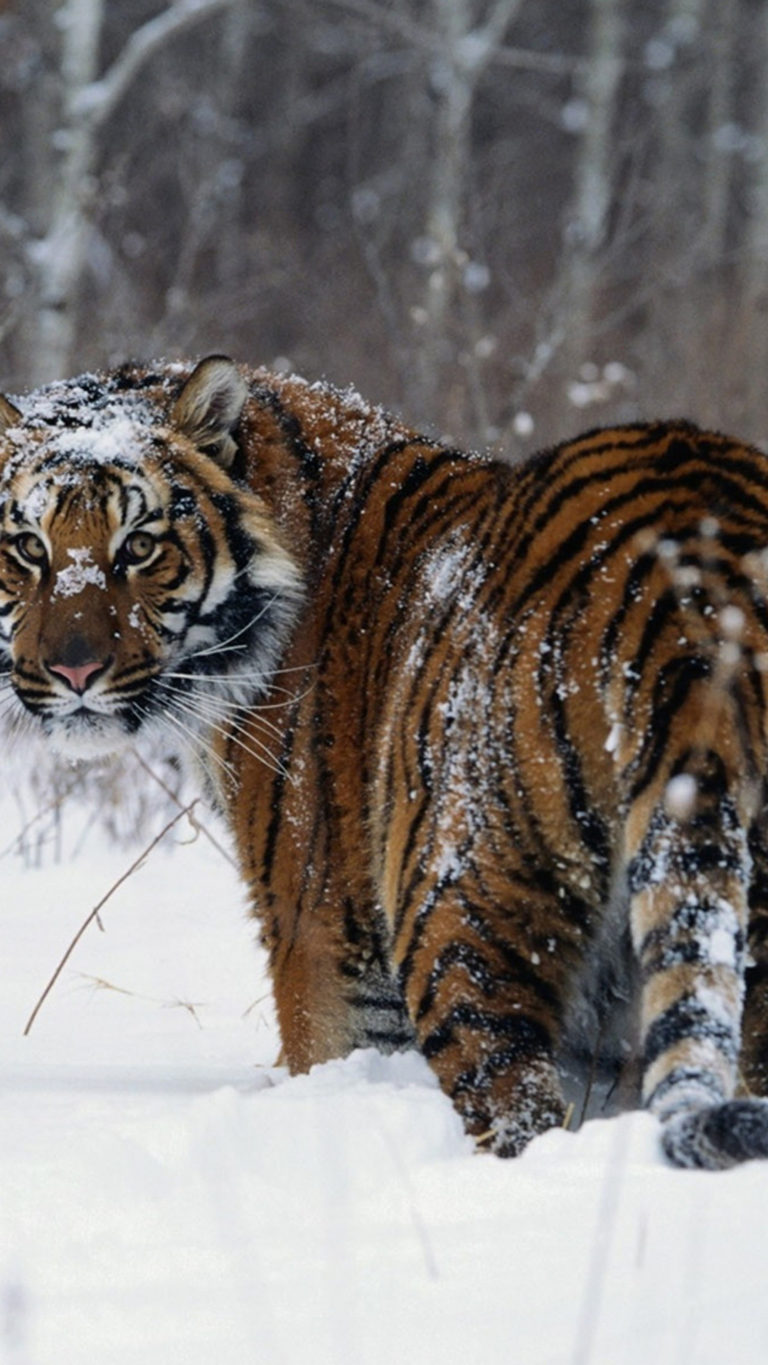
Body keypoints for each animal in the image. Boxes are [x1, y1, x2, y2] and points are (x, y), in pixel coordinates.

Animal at [1, 354, 768, 1173]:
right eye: (29, 548)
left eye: (140, 545)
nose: (75, 671)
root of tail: (691, 573)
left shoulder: (324, 938)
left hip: (458, 910)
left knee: (516, 1106)